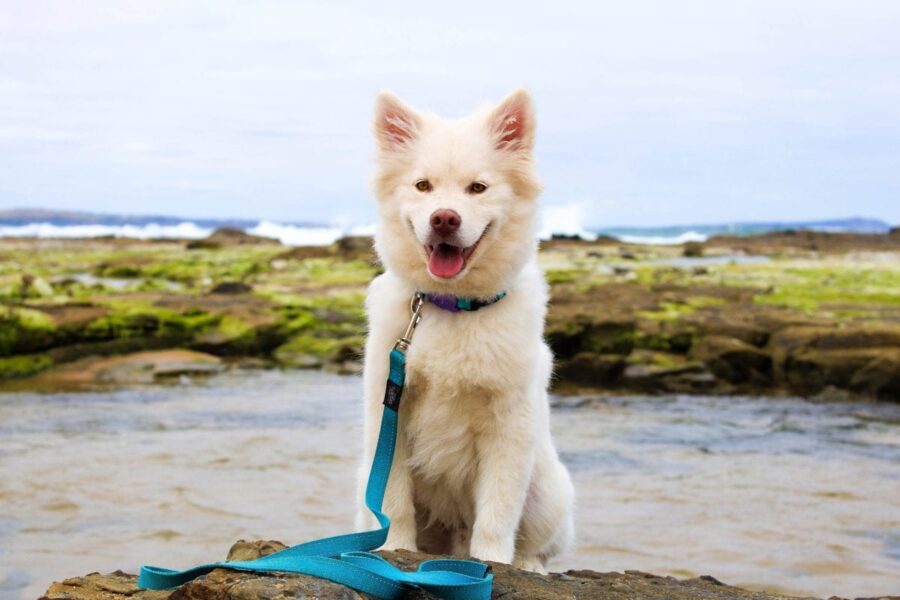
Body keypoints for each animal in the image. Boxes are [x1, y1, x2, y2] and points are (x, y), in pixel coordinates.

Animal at [356, 88, 572, 572]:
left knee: (535, 543)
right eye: (423, 186)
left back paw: (527, 565)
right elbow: (394, 500)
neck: (451, 306)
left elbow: (497, 512)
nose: (444, 219)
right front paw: (394, 549)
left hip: (549, 492)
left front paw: (493, 563)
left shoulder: (510, 426)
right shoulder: (390, 411)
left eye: (478, 188)